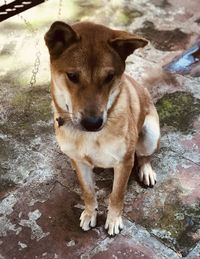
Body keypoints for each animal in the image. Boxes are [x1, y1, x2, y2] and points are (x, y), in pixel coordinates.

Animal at [44, 21, 160, 237]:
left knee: (145, 156)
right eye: (72, 76)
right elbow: (88, 192)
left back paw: (146, 170)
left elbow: (117, 195)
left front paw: (113, 219)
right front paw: (90, 213)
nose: (93, 123)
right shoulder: (81, 163)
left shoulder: (124, 162)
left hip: (150, 134)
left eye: (109, 77)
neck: (88, 137)